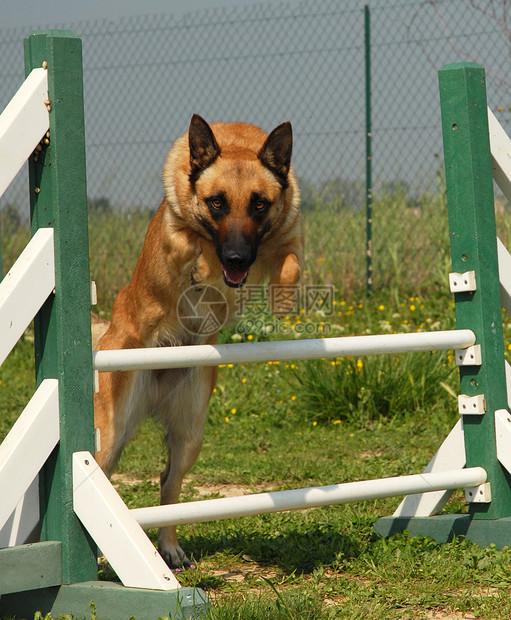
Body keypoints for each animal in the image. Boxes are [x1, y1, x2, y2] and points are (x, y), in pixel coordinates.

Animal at [93, 114, 304, 568]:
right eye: (217, 203)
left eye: (259, 204)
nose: (238, 259)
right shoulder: (179, 235)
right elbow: (195, 241)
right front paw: (205, 267)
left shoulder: (289, 239)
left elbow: (291, 265)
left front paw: (282, 301)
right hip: (109, 439)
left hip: (191, 434)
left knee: (168, 485)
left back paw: (170, 550)